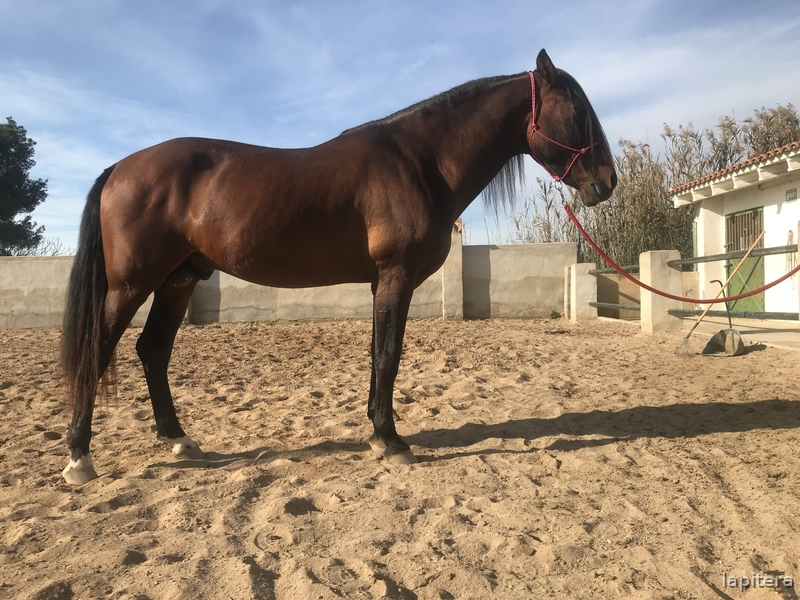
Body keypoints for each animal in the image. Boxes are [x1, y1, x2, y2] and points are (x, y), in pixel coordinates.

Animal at [60, 49, 616, 484]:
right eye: (578, 110)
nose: (607, 183)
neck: (421, 162)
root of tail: (120, 168)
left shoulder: (379, 284)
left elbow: (376, 354)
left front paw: (377, 432)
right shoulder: (395, 277)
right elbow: (389, 355)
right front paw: (392, 441)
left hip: (177, 281)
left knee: (152, 350)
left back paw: (179, 439)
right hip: (130, 285)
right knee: (99, 350)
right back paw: (79, 459)